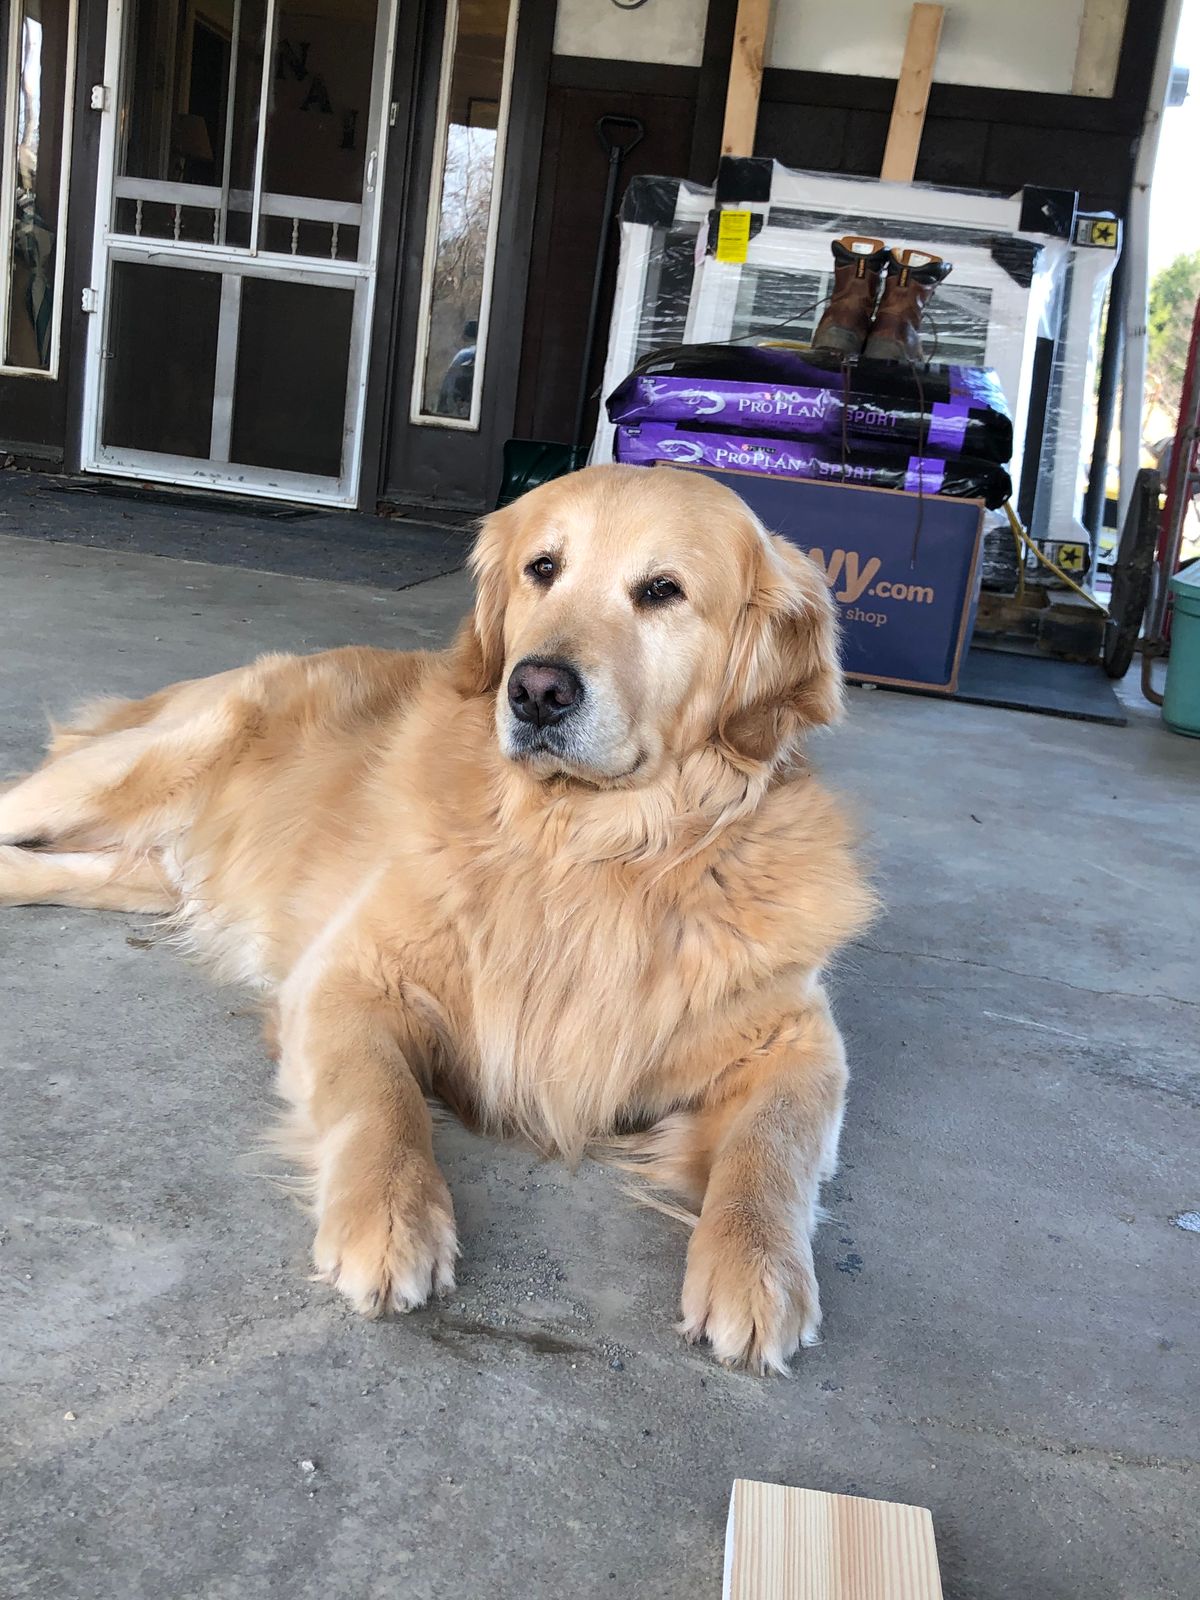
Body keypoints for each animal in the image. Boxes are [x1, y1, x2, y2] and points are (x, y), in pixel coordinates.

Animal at [0, 465, 875, 1372]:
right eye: (542, 569)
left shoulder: (800, 1036)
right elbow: (381, 1097)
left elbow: (776, 1141)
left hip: (151, 875)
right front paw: (391, 1217)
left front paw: (758, 1268)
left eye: (663, 590)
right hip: (138, 766)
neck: (588, 849)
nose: (535, 690)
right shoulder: (346, 978)